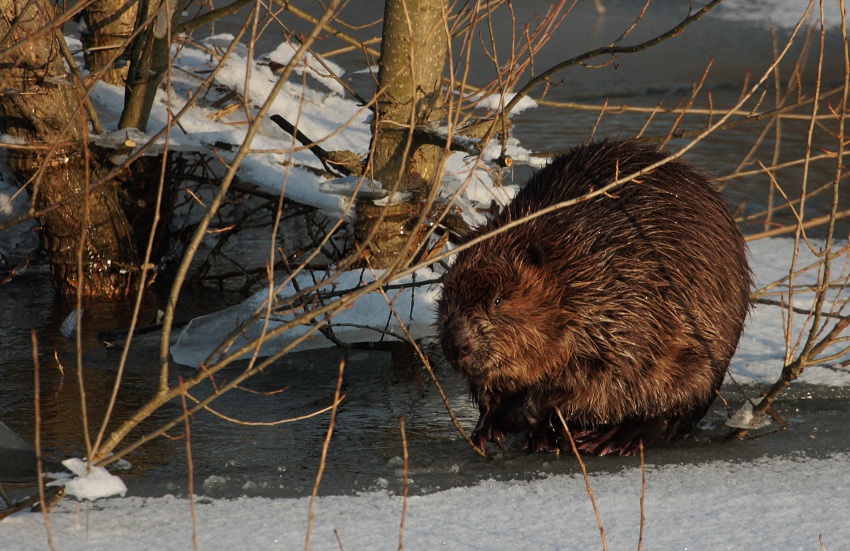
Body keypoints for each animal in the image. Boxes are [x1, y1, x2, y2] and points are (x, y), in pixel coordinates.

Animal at [438, 139, 748, 458]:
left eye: (498, 300)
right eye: (451, 294)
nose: (456, 344)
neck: (578, 262)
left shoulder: (630, 300)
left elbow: (602, 371)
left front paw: (523, 414)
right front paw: (487, 426)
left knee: (672, 415)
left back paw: (607, 438)